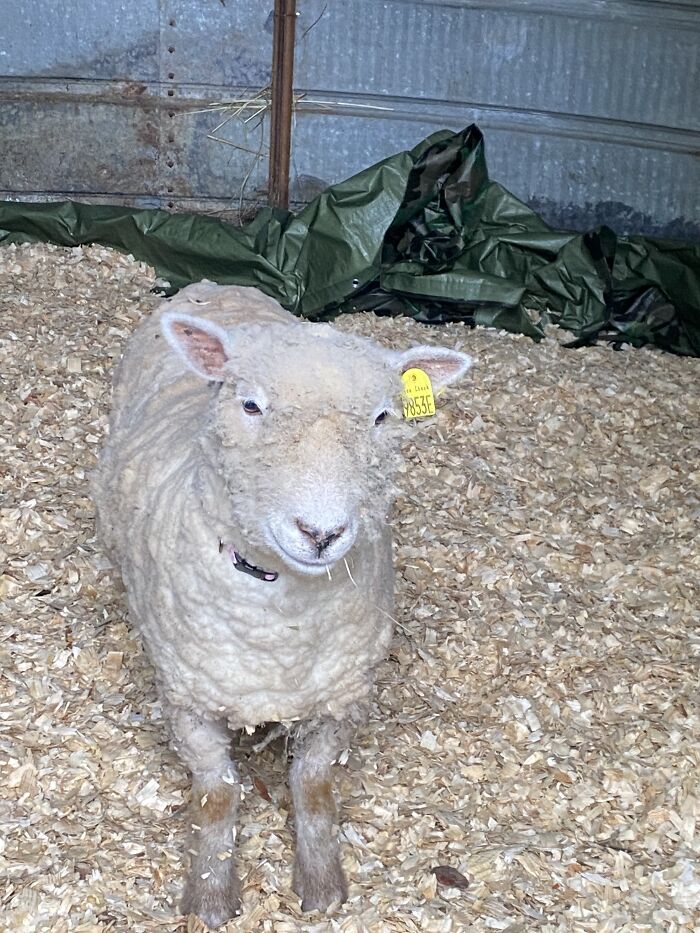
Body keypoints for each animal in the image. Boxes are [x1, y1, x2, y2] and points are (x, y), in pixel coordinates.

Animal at [92, 281, 472, 928]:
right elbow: (217, 793)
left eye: (383, 416)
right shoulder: (188, 701)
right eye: (250, 405)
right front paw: (211, 896)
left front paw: (320, 885)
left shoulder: (341, 698)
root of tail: (218, 286)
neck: (280, 630)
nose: (321, 533)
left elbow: (314, 787)